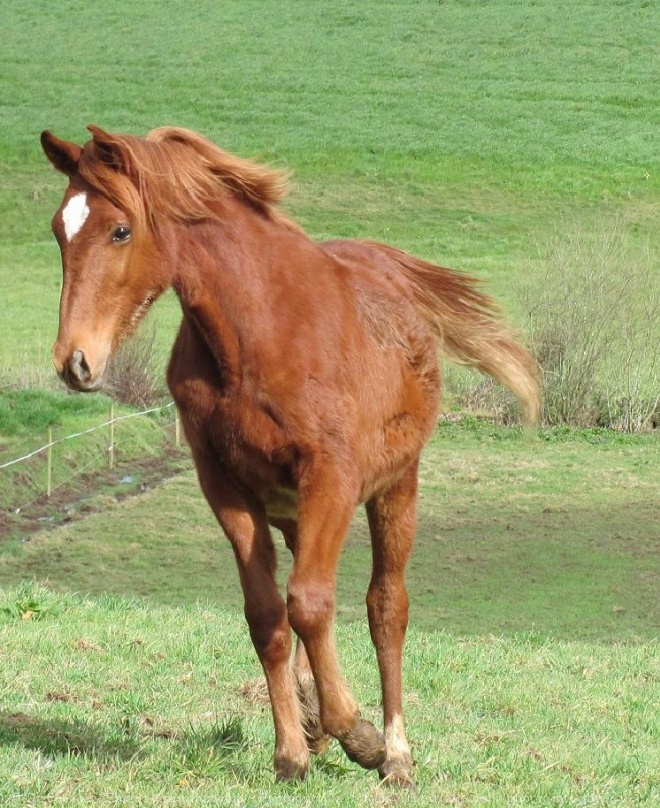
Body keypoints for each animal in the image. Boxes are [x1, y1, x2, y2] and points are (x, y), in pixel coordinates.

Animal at [40, 124, 536, 784]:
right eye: (58, 229)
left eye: (120, 230)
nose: (75, 361)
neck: (258, 335)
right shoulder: (226, 488)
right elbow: (268, 616)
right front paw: (292, 752)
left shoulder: (332, 477)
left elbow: (311, 603)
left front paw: (358, 733)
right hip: (297, 513)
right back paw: (312, 718)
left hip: (395, 486)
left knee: (386, 607)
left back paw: (395, 752)